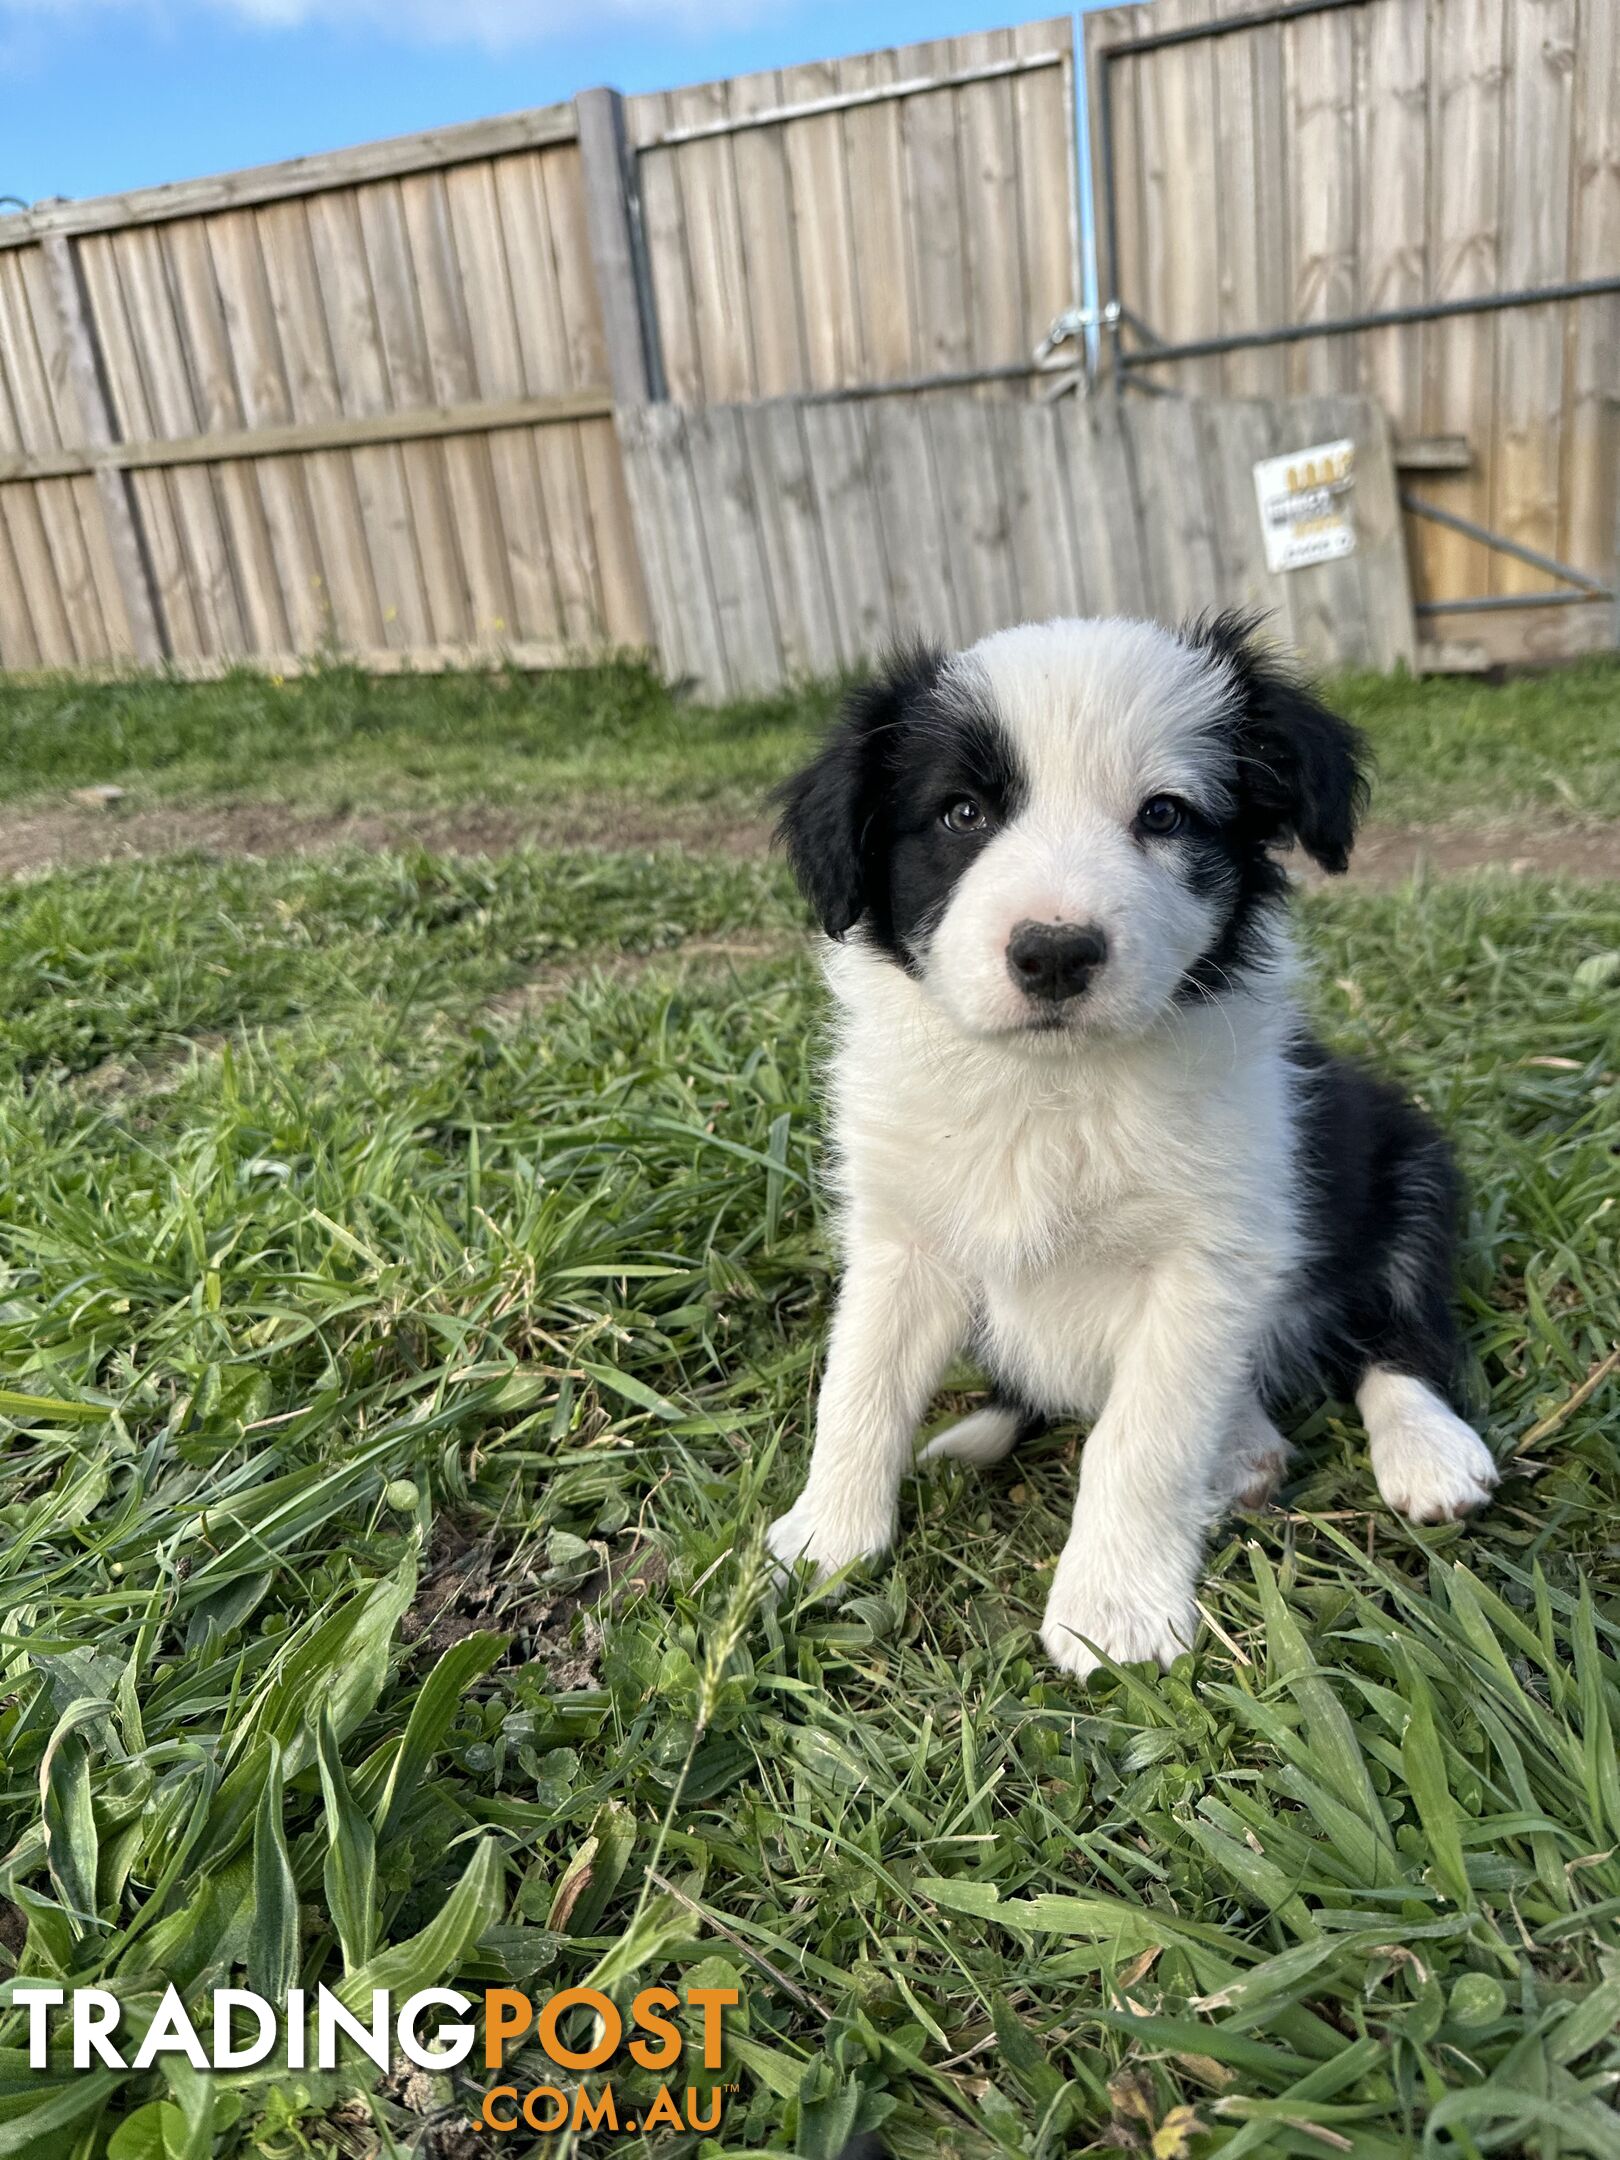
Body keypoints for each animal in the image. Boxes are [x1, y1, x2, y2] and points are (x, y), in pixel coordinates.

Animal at [768, 617, 1503, 1676]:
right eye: (960, 813)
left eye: (1164, 815)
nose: (1054, 953)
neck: (1054, 1086)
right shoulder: (902, 1234)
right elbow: (859, 1385)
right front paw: (826, 1539)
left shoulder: (1209, 1261)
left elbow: (1142, 1437)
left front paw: (1112, 1611)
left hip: (1405, 1163)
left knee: (1400, 1331)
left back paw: (1422, 1450)